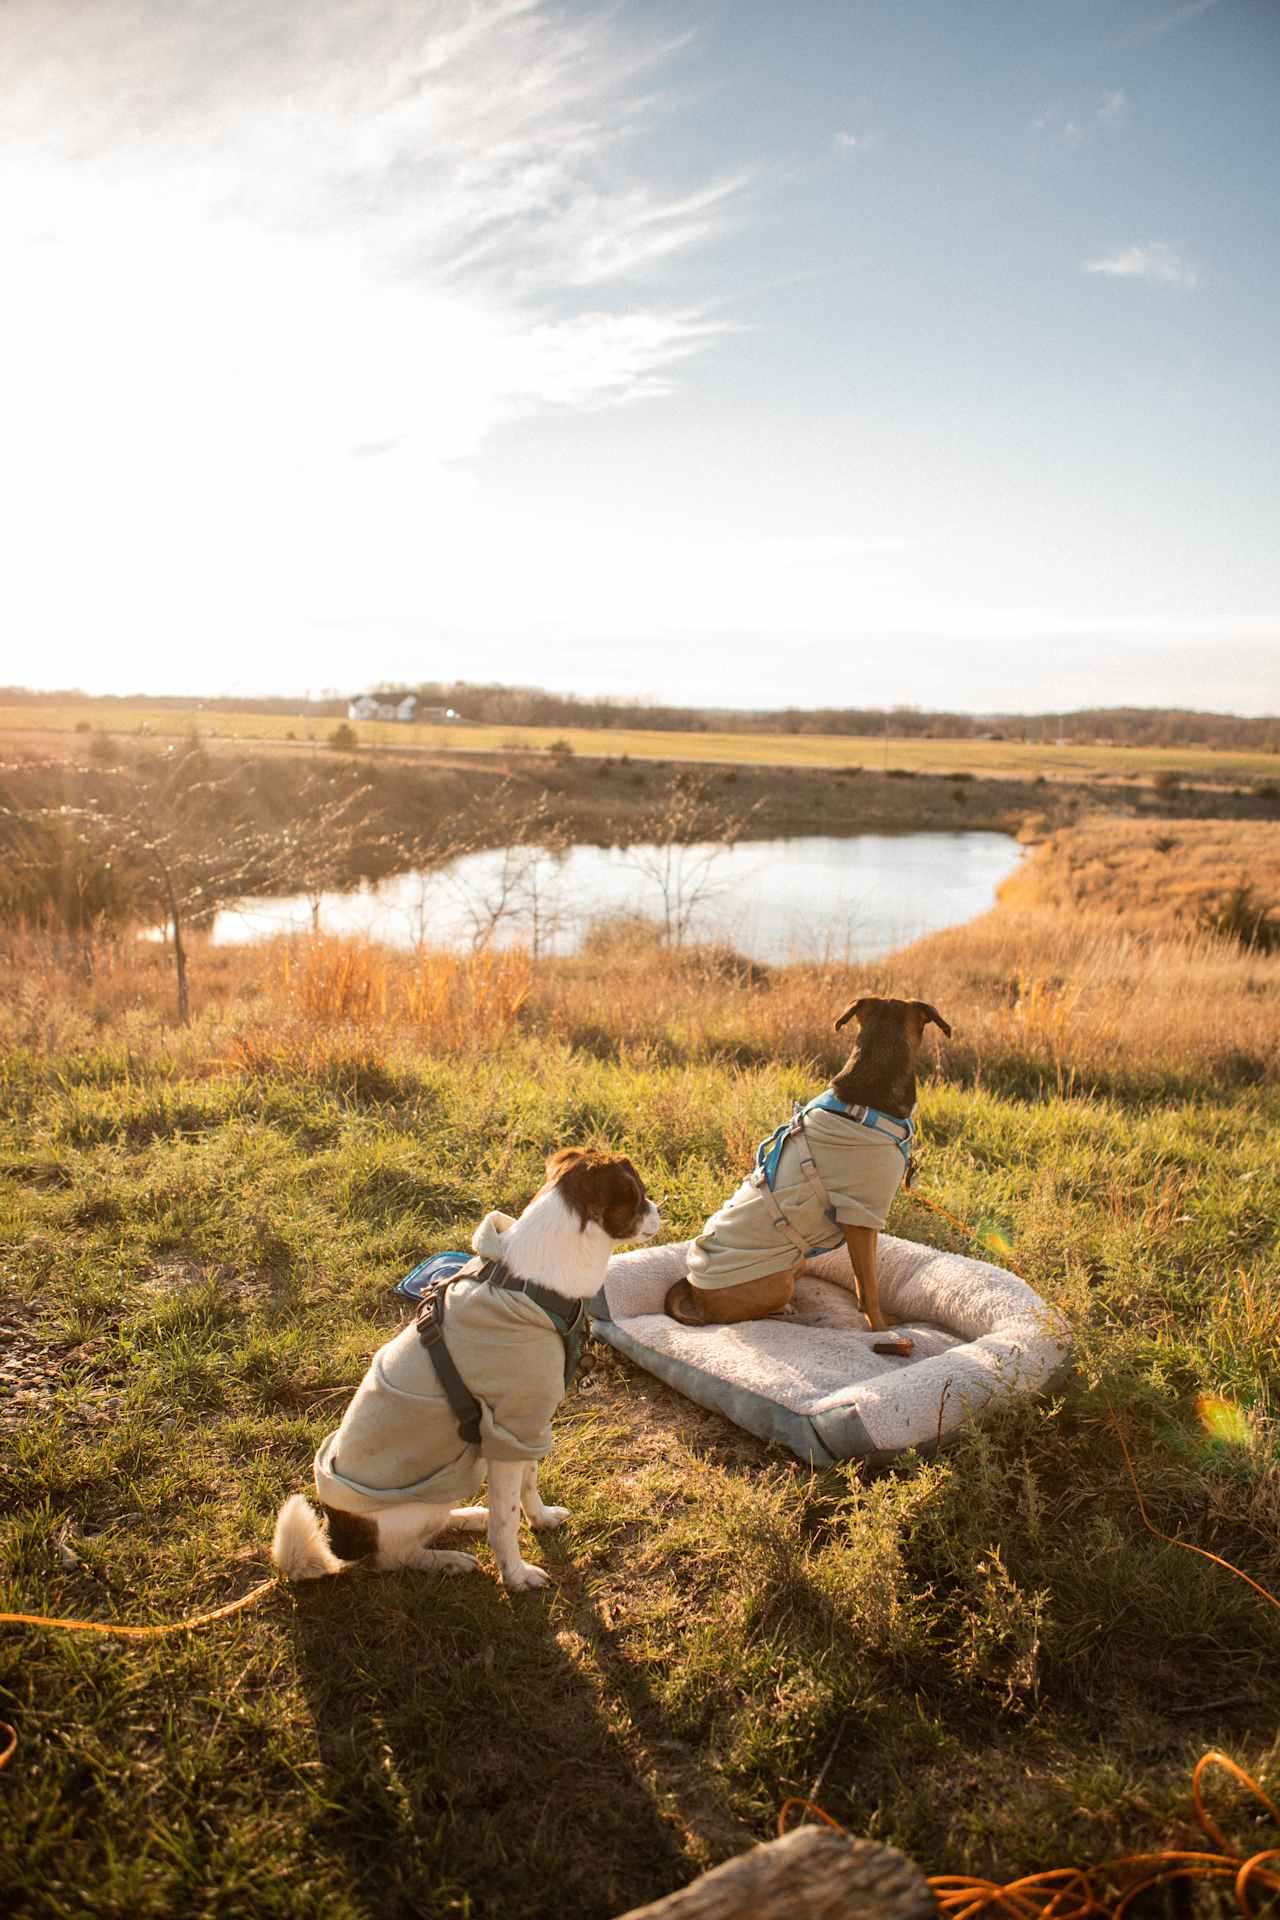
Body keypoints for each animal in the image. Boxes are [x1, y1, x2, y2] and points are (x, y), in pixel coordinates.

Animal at [278, 1152, 660, 1589]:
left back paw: (468, 1517)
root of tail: (341, 1539)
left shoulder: (526, 1430)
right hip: (419, 1504)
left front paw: (541, 1519)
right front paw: (516, 1576)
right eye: (638, 1196)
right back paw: (447, 1559)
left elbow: (529, 1484)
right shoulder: (507, 1433)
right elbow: (506, 1521)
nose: (660, 1211)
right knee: (394, 1557)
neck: (528, 1283)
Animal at [667, 1006, 948, 1336]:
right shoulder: (860, 1216)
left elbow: (863, 1281)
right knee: (741, 1317)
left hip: (796, 1262)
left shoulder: (867, 1223)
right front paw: (882, 1330)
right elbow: (869, 1287)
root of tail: (692, 1285)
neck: (864, 1101)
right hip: (777, 1282)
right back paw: (782, 1310)